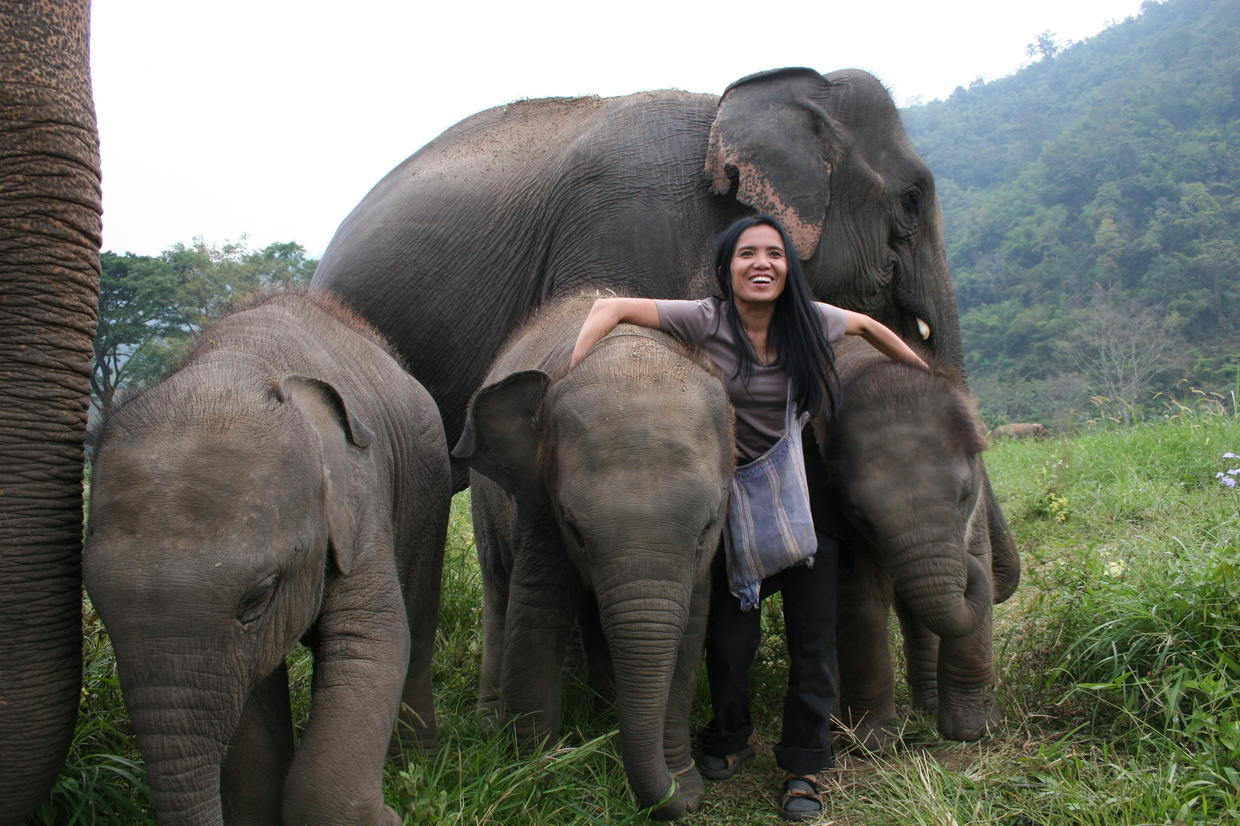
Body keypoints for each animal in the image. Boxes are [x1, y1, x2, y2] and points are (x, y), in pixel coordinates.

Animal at [83, 291, 451, 823]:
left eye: (256, 598)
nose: (391, 811)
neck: (237, 364)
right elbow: (251, 691)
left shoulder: (362, 500)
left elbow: (371, 640)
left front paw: (389, 815)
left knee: (417, 626)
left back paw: (418, 766)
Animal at [451, 293, 729, 818]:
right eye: (575, 529)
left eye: (707, 527)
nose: (682, 798)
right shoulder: (539, 496)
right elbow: (537, 609)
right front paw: (535, 776)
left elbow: (691, 628)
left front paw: (684, 785)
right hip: (484, 499)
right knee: (499, 592)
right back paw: (490, 726)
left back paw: (603, 705)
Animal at [813, 337, 1016, 749]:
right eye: (860, 513)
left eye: (965, 495)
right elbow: (860, 593)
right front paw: (872, 743)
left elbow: (975, 563)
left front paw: (975, 730)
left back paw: (927, 708)